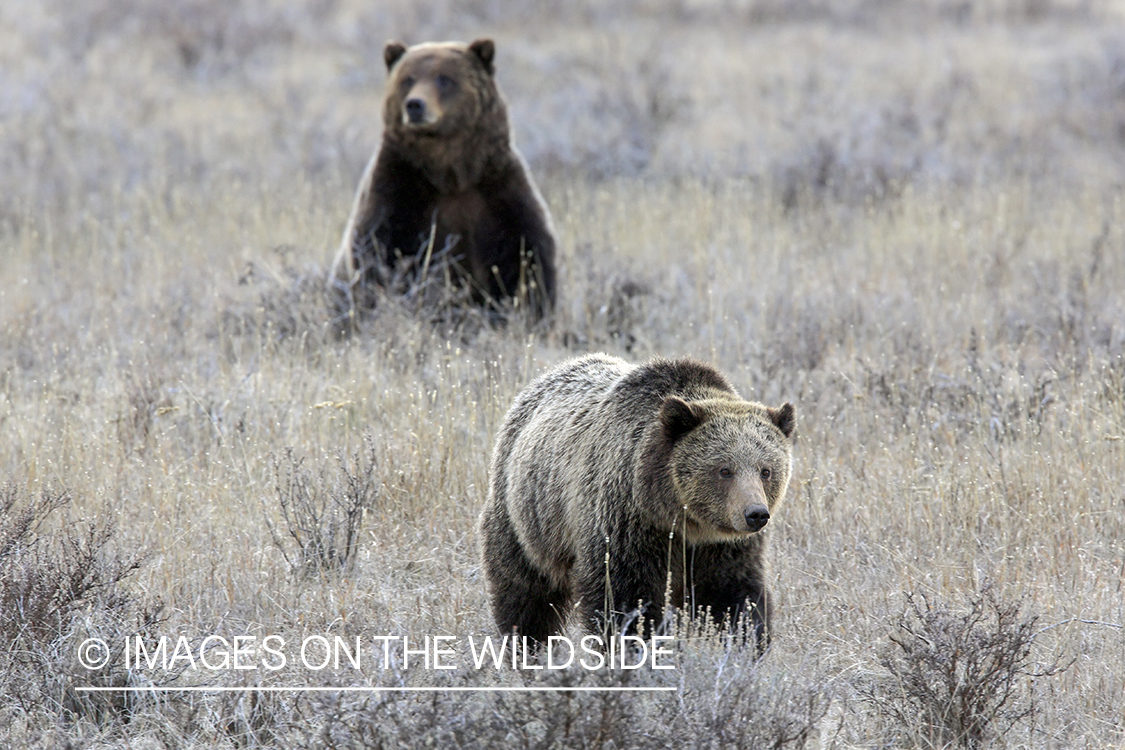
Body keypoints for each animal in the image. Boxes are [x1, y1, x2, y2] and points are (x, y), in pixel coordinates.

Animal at [328, 38, 558, 319]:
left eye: (444, 78)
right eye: (408, 79)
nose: (415, 105)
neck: (450, 175)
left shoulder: (496, 189)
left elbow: (526, 253)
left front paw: (529, 308)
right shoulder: (397, 186)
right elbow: (378, 250)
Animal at [479, 353, 796, 652]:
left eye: (766, 470)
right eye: (725, 470)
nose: (756, 514)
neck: (680, 518)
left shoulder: (722, 547)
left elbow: (734, 594)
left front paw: (748, 644)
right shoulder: (628, 523)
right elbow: (623, 597)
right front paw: (633, 647)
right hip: (529, 520)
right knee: (525, 592)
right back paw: (526, 647)